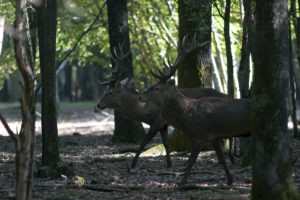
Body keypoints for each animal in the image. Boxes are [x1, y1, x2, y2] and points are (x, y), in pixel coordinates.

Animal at [95, 43, 231, 170]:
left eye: (110, 92)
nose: (98, 104)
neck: (143, 110)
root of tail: (226, 95)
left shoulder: (157, 120)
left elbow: (144, 142)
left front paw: (133, 164)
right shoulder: (163, 125)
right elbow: (166, 143)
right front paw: (169, 164)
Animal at [139, 35, 251, 186]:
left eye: (156, 88)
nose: (140, 96)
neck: (188, 117)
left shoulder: (200, 135)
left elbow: (191, 160)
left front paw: (182, 182)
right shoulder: (214, 137)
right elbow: (221, 159)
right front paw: (230, 180)